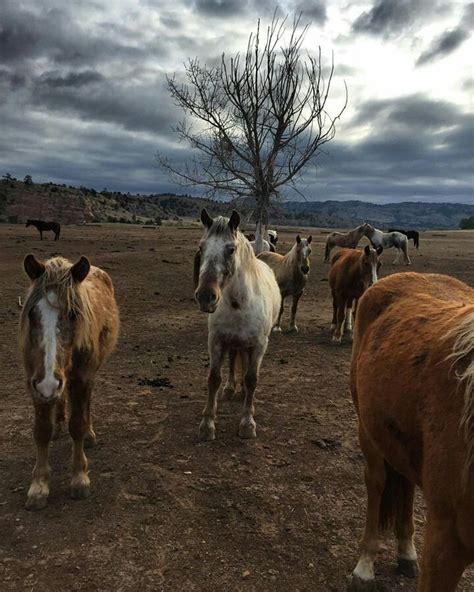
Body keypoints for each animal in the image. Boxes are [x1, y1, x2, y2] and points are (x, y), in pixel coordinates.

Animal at [20, 254, 118, 508]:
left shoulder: (81, 380)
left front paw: (79, 478)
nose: (48, 384)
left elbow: (78, 425)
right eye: (32, 313)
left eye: (74, 314)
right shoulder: (35, 384)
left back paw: (90, 435)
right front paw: (39, 485)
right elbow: (41, 430)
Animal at [193, 208, 282, 440]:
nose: (205, 296)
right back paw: (231, 388)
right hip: (232, 342)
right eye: (201, 247)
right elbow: (213, 378)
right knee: (234, 359)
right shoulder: (216, 341)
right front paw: (207, 424)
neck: (240, 303)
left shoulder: (259, 345)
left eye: (231, 250)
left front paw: (247, 423)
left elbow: (252, 379)